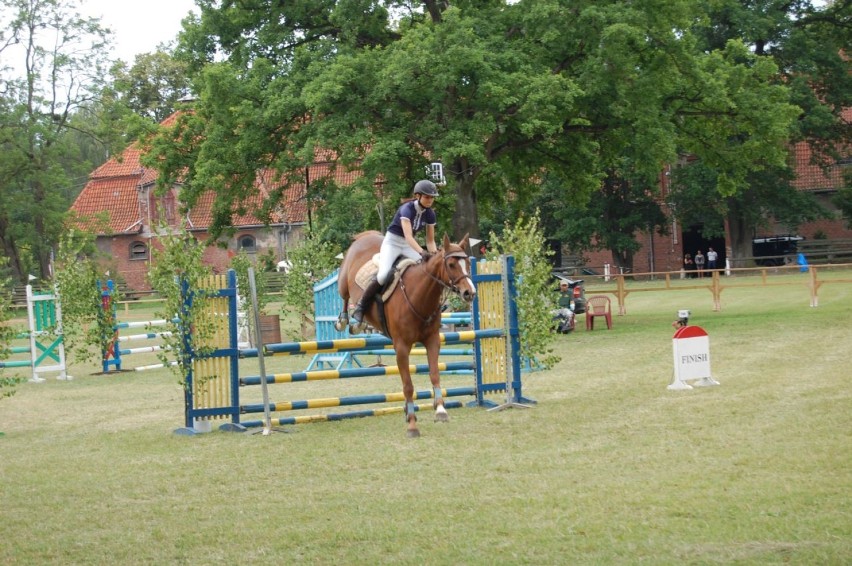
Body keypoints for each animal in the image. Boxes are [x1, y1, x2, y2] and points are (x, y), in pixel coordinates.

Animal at [336, 231, 476, 440]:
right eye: (451, 264)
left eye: (467, 263)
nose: (470, 293)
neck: (419, 296)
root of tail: (366, 236)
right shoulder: (401, 347)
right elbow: (408, 385)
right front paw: (411, 424)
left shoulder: (432, 341)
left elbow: (435, 374)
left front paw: (440, 410)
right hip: (344, 281)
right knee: (345, 297)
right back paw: (348, 320)